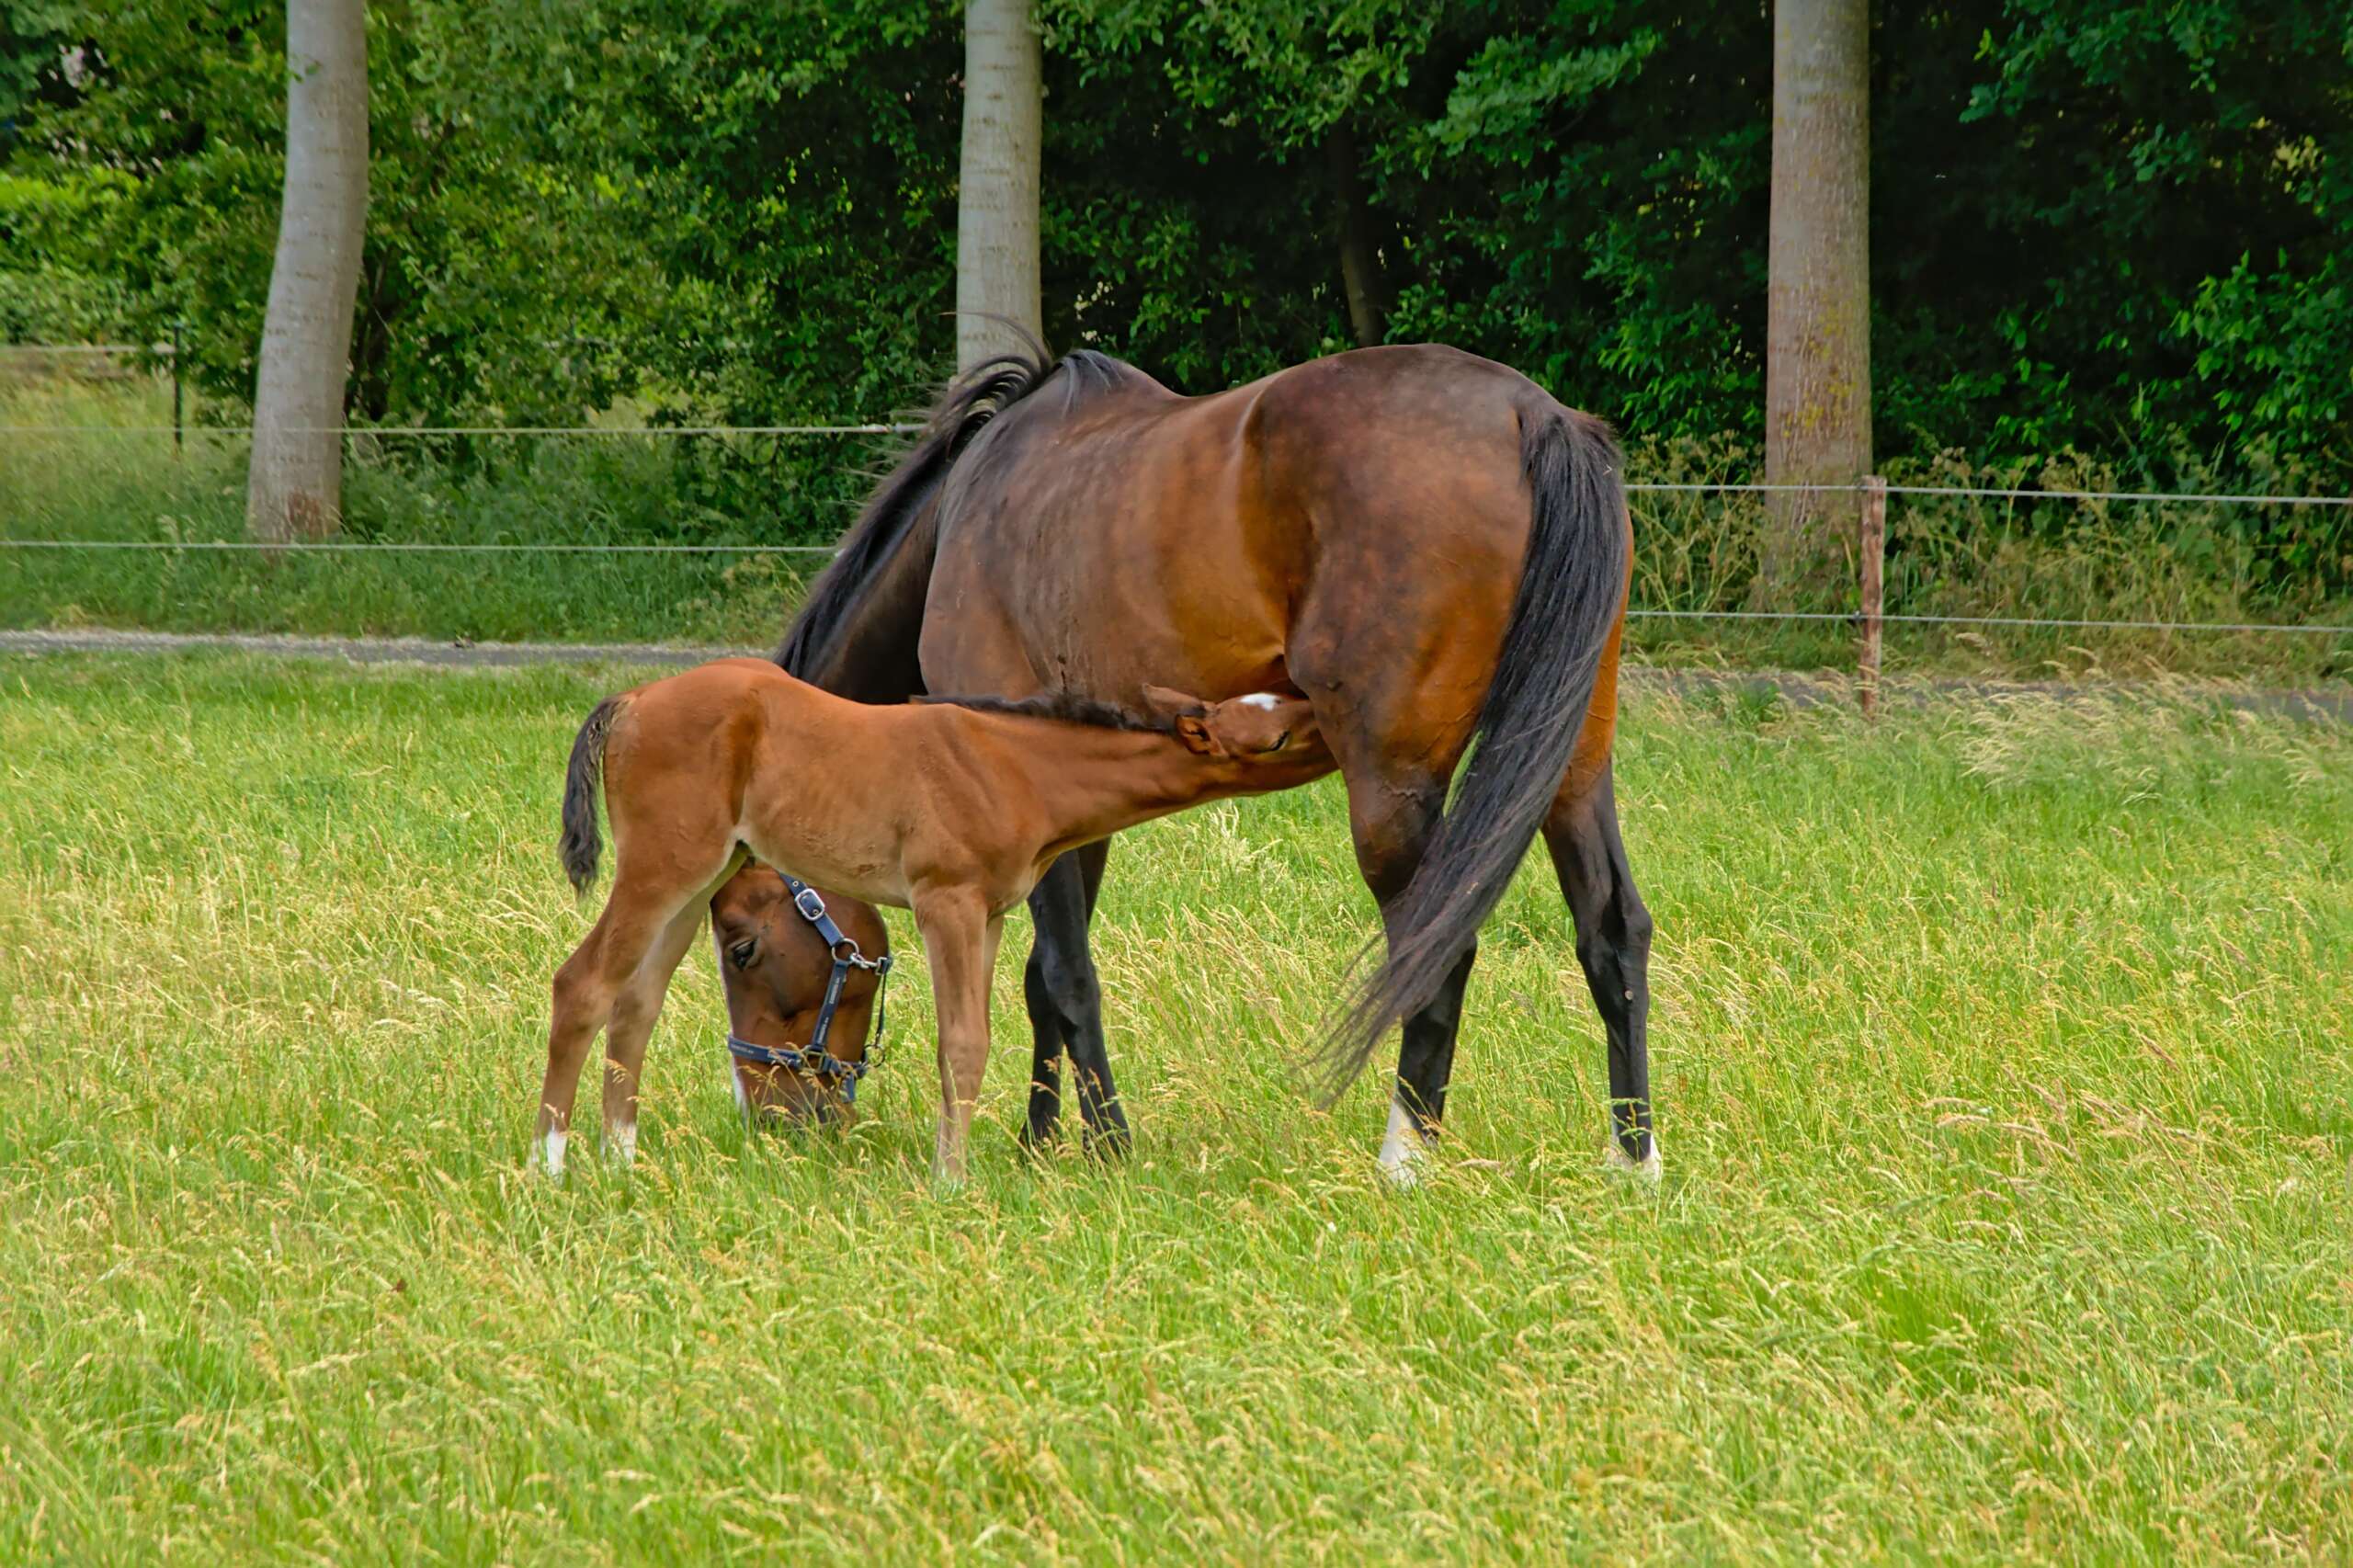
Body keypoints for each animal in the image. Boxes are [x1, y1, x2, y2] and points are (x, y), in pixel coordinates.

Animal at [777, 341, 1656, 1184]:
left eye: (752, 946)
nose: (789, 1125)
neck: (966, 512)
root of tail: (1531, 414)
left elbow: (1064, 972)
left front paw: (1106, 1148)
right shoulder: (1070, 808)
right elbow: (1042, 979)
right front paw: (1039, 1144)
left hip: (1394, 788)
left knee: (1437, 949)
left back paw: (1403, 1163)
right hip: (1573, 761)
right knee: (1612, 929)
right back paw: (1633, 1162)